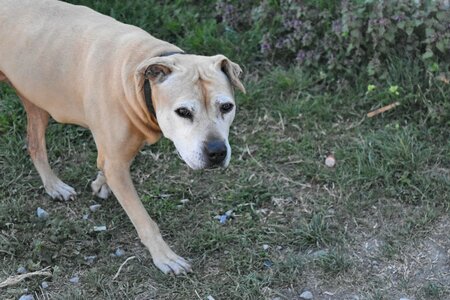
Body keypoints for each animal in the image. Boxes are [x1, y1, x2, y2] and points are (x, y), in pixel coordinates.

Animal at [0, 0, 246, 274]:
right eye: (183, 112)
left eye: (227, 107)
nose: (217, 152)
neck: (139, 79)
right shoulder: (117, 164)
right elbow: (144, 220)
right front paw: (165, 257)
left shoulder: (117, 154)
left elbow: (104, 163)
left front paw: (100, 182)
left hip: (36, 101)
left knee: (34, 144)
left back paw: (53, 186)